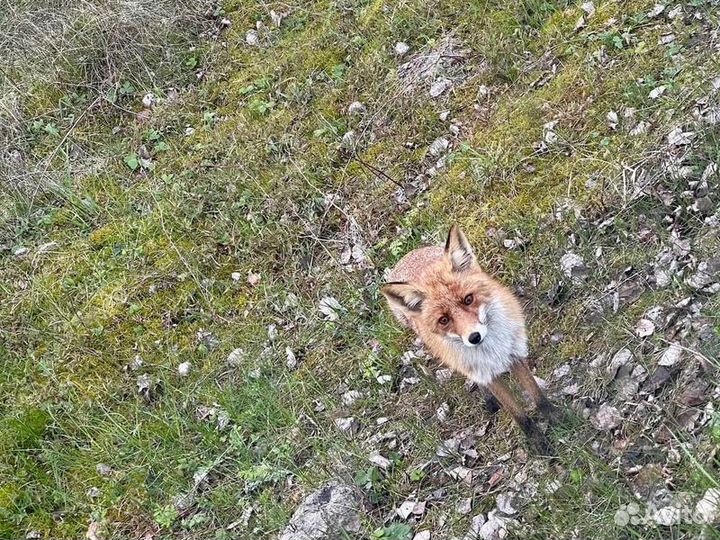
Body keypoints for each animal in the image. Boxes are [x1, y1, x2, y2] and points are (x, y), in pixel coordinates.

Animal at [382, 226, 556, 454]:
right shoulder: (486, 374)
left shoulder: (514, 355)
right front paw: (537, 440)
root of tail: (407, 256)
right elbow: (517, 413)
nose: (474, 337)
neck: (492, 352)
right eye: (444, 320)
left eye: (468, 299)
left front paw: (559, 418)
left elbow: (537, 395)